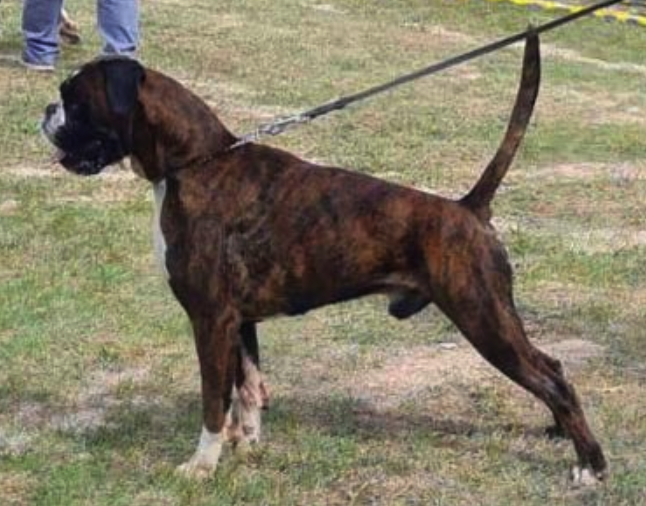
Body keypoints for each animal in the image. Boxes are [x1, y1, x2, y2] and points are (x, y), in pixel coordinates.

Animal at [40, 32, 607, 486]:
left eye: (74, 99)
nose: (46, 111)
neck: (194, 163)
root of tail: (467, 208)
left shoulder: (210, 319)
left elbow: (213, 400)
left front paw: (201, 466)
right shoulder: (238, 321)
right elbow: (248, 389)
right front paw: (246, 446)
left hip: (481, 317)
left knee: (554, 381)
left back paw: (591, 466)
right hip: (495, 318)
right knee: (552, 366)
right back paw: (559, 433)